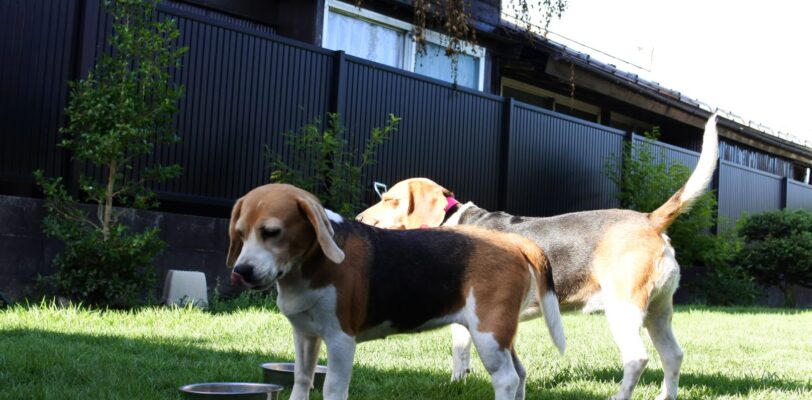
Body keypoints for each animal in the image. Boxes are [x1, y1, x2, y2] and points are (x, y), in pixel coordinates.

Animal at [224, 184, 564, 400]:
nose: (242, 272)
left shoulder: (341, 340)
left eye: (272, 233)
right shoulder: (306, 335)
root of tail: (513, 242)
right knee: (519, 373)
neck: (308, 264)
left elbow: (333, 388)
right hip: (499, 334)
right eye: (239, 233)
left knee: (507, 379)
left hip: (488, 334)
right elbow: (302, 380)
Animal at [358, 115, 720, 400]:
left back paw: (618, 396)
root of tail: (649, 219)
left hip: (624, 310)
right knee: (673, 356)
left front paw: (455, 385)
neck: (453, 218)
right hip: (659, 312)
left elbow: (460, 355)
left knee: (637, 359)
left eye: (390, 200)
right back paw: (665, 396)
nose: (360, 217)